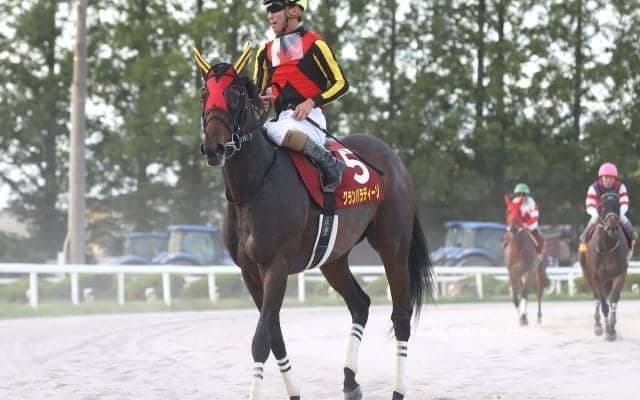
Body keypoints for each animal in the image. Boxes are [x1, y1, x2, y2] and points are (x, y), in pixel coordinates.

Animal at [193, 46, 434, 400]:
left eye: (234, 94)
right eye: (203, 94)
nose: (214, 147)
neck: (254, 186)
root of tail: (394, 159)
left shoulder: (276, 267)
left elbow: (261, 340)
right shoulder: (249, 272)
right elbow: (274, 336)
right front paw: (295, 391)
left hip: (394, 246)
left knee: (400, 316)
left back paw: (397, 391)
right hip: (333, 257)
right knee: (360, 303)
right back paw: (350, 381)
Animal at [503, 195, 546, 325]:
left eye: (519, 212)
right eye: (508, 211)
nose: (513, 229)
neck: (517, 248)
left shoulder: (529, 270)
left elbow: (524, 294)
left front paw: (523, 317)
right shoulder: (512, 272)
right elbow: (515, 298)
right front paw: (522, 317)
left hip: (539, 269)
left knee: (539, 291)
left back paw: (539, 317)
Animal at [579, 192, 629, 341]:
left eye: (617, 206)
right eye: (603, 207)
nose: (611, 228)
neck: (607, 246)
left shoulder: (620, 273)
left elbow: (613, 298)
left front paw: (612, 329)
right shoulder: (595, 275)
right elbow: (603, 302)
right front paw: (607, 330)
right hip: (587, 274)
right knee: (596, 296)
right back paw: (598, 325)